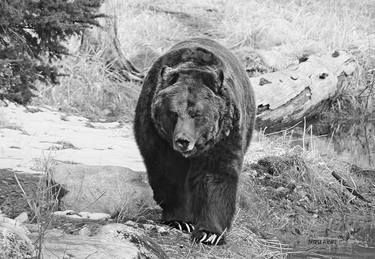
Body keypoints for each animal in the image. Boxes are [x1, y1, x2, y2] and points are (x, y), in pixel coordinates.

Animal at [134, 38, 258, 246]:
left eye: (197, 114)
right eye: (173, 113)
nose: (183, 140)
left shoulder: (223, 137)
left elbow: (215, 175)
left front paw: (210, 233)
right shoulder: (158, 137)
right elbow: (169, 173)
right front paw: (180, 220)